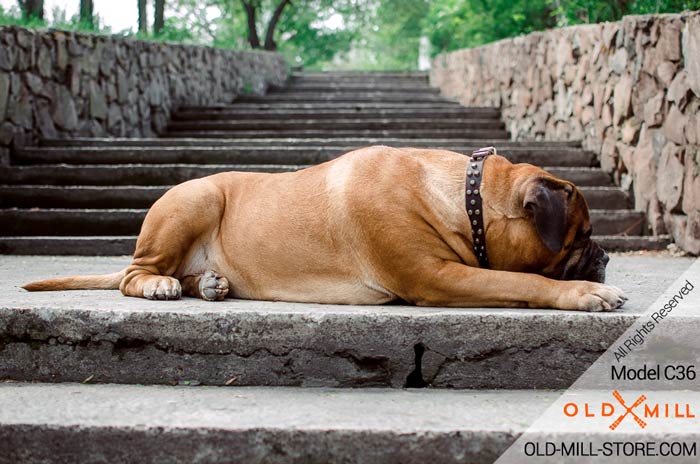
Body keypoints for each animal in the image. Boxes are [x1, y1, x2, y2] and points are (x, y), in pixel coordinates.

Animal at [24, 145, 628, 312]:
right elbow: (522, 281)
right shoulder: (434, 277)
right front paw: (587, 292)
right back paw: (160, 285)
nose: (605, 256)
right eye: (580, 237)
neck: (465, 198)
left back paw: (211, 283)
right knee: (134, 274)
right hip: (195, 197)